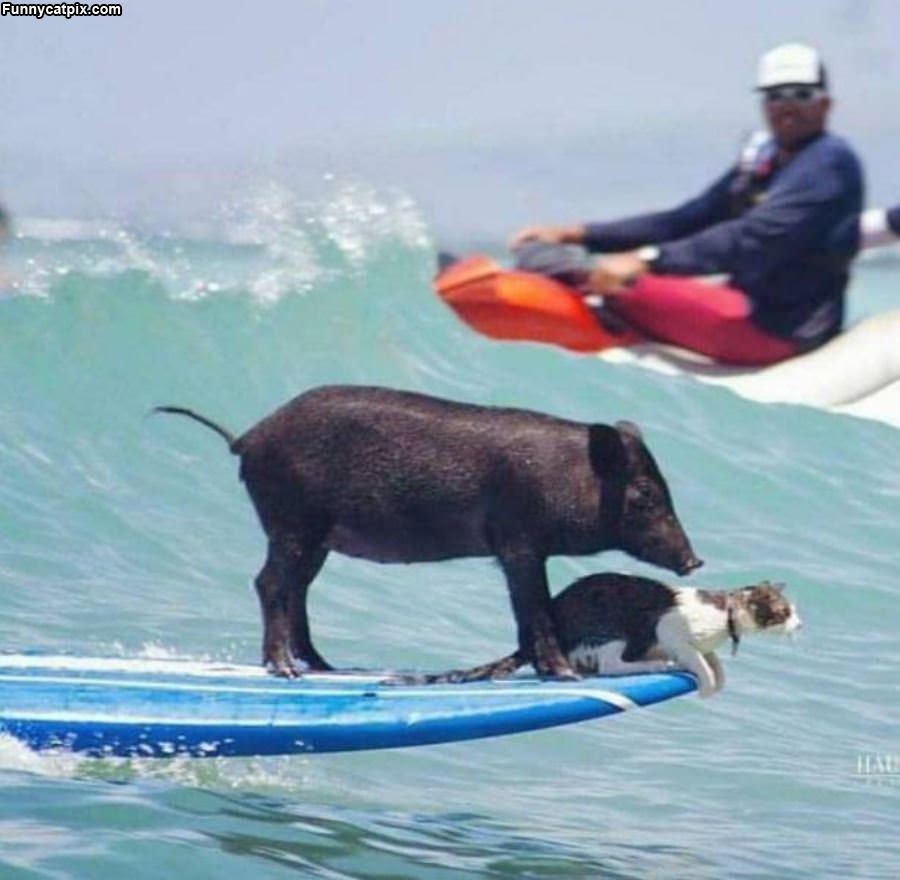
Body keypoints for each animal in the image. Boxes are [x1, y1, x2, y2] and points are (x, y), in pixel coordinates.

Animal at [156, 384, 704, 680]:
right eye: (646, 493)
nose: (694, 561)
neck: (568, 479)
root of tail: (248, 438)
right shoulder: (519, 540)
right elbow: (536, 608)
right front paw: (564, 674)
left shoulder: (519, 549)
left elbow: (529, 611)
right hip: (293, 519)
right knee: (269, 582)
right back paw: (285, 668)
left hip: (317, 537)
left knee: (297, 589)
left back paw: (325, 666)